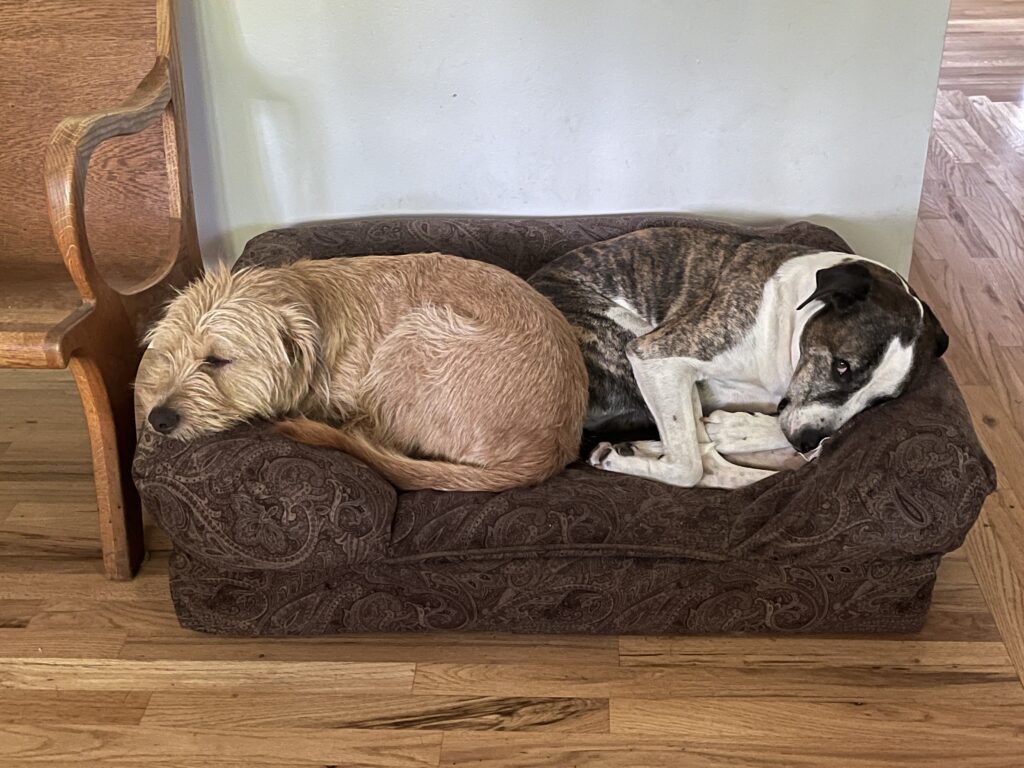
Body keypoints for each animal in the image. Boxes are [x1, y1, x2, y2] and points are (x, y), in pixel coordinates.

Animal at [532, 225, 946, 489]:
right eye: (842, 366)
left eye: (878, 404)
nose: (808, 439)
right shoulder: (657, 357)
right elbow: (689, 465)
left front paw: (739, 429)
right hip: (626, 337)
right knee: (699, 463)